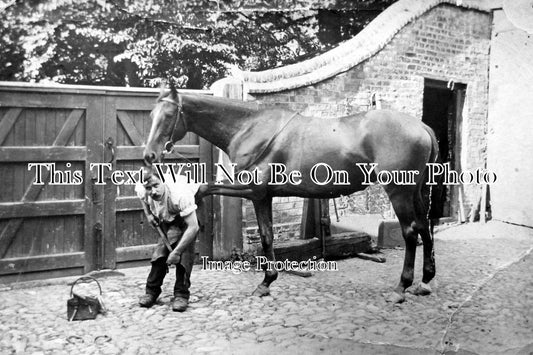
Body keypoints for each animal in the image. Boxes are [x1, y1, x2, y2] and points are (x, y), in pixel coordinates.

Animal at [143, 82, 438, 304]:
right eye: (150, 116)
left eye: (167, 116)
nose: (149, 156)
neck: (250, 128)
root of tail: (422, 127)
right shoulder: (265, 196)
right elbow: (267, 235)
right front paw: (267, 282)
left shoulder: (253, 191)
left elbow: (209, 192)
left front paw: (265, 281)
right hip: (416, 192)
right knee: (424, 227)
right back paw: (424, 281)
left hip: (399, 192)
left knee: (410, 232)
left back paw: (401, 287)